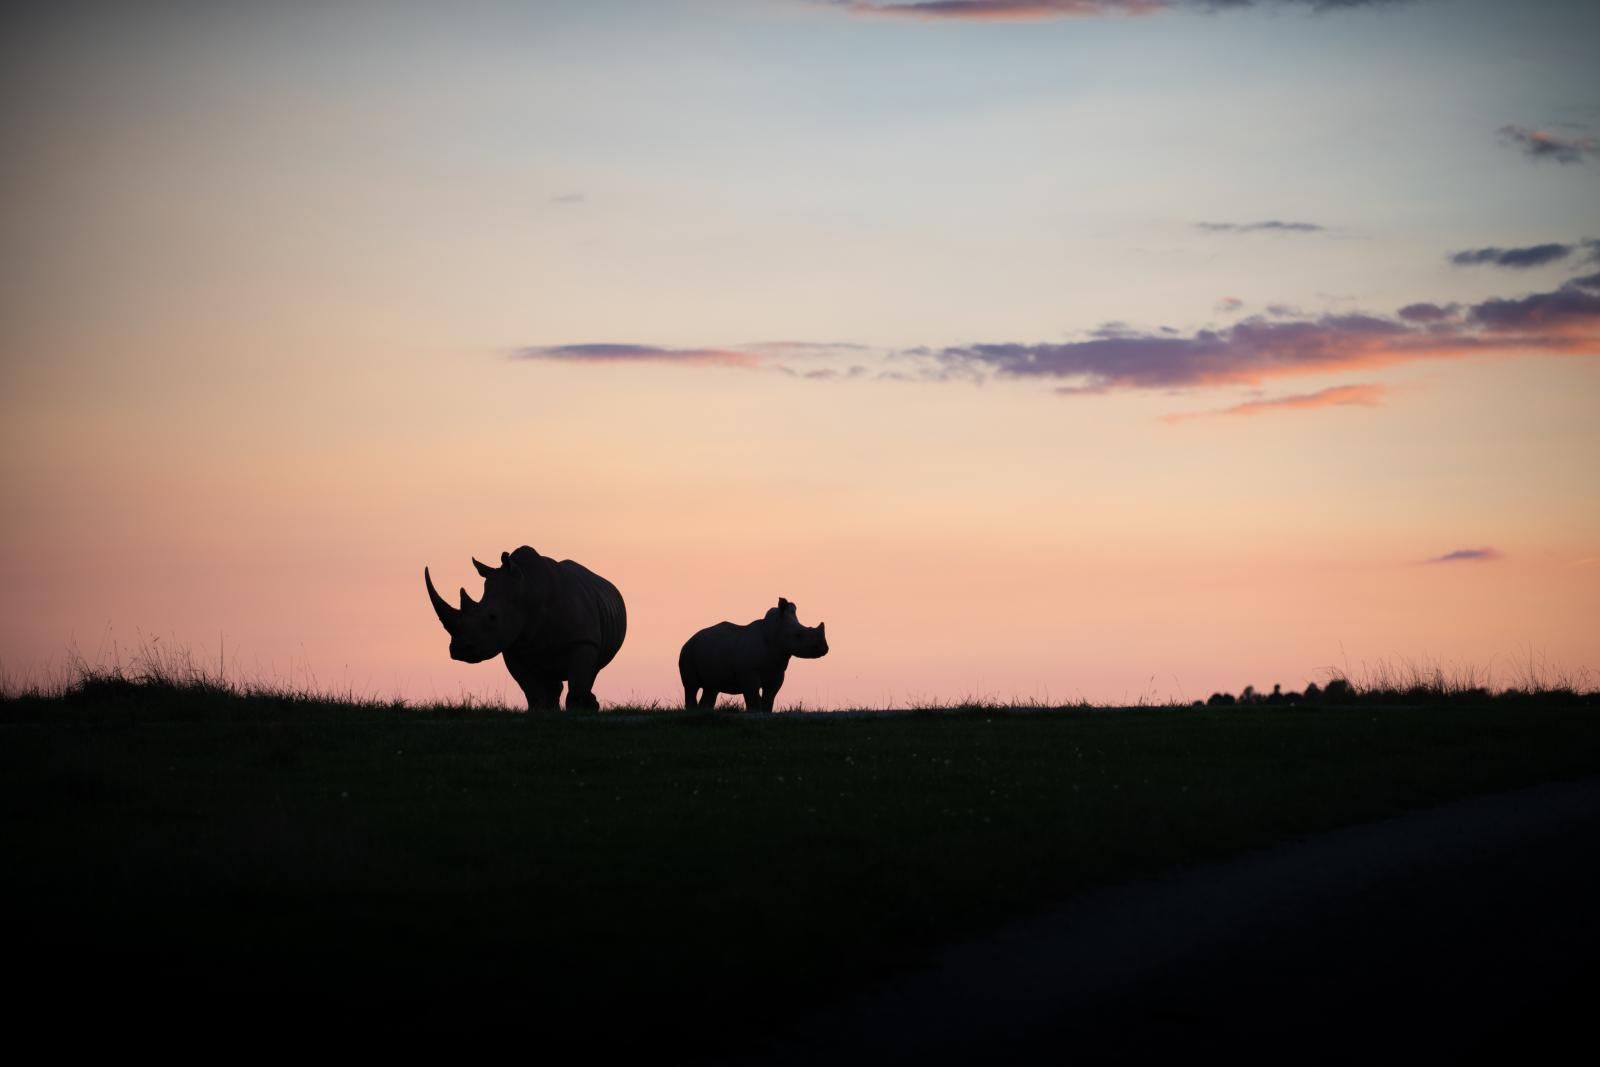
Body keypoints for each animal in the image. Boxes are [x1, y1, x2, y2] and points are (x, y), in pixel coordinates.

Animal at [425, 545, 626, 712]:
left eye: (492, 617)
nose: (459, 651)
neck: (528, 589)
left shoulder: (583, 640)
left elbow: (579, 679)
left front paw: (578, 710)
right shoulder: (512, 646)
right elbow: (529, 686)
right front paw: (540, 710)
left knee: (591, 671)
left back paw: (590, 704)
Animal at [678, 597, 828, 712]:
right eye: (798, 635)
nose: (824, 649)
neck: (774, 631)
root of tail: (690, 638)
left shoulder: (777, 671)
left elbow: (769, 696)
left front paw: (766, 712)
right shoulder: (749, 672)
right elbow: (753, 696)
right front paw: (755, 712)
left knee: (711, 688)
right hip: (687, 651)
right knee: (691, 686)